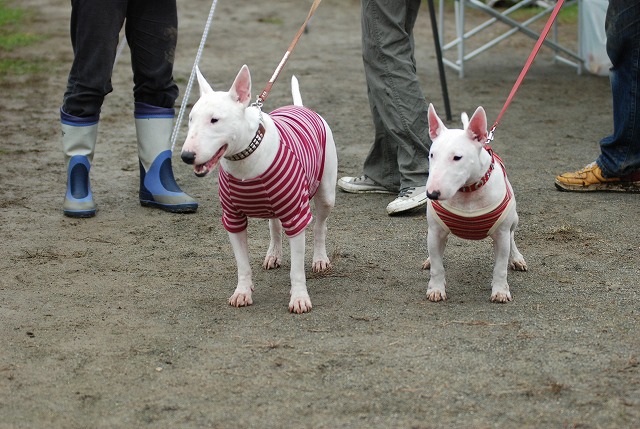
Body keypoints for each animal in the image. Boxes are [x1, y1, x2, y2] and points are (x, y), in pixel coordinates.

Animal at [180, 64, 338, 310]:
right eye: (190, 118)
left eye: (214, 120)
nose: (186, 156)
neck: (245, 156)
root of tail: (301, 107)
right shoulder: (233, 218)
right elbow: (242, 265)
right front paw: (242, 292)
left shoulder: (295, 213)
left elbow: (297, 269)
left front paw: (299, 298)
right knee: (274, 226)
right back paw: (273, 254)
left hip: (326, 193)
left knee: (320, 226)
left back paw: (320, 259)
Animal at [422, 103, 528, 300]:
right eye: (431, 155)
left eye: (457, 157)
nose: (432, 194)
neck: (467, 192)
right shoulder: (435, 231)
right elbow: (438, 266)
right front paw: (436, 289)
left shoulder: (501, 234)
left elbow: (500, 267)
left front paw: (500, 291)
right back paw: (429, 259)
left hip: (513, 219)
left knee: (512, 237)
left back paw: (517, 258)